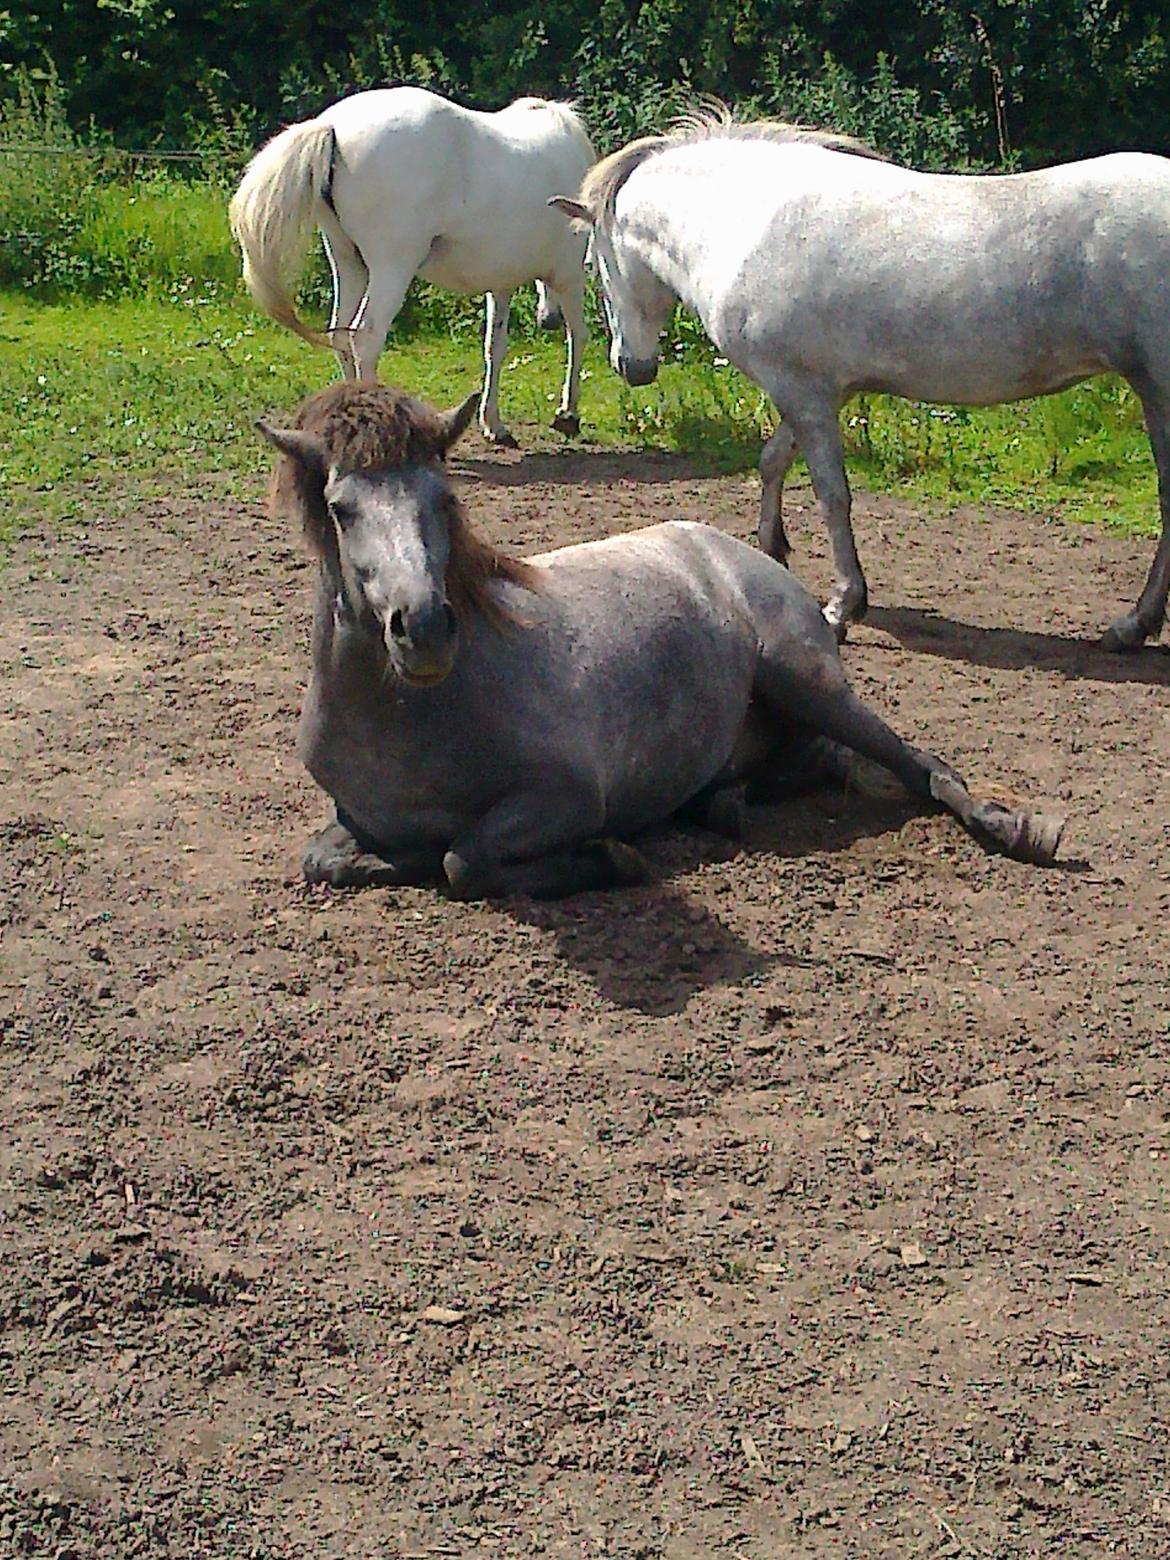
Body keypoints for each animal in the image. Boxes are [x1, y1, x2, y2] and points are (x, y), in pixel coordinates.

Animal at [230, 86, 595, 446]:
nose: (547, 319)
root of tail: (332, 127)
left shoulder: (500, 282)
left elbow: (495, 346)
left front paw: (494, 423)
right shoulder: (570, 276)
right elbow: (578, 336)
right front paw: (569, 414)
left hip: (348, 263)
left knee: (342, 334)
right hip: (391, 269)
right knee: (366, 338)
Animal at [260, 374, 1067, 904]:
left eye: (443, 496)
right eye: (341, 508)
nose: (424, 629)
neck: (413, 716)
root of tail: (737, 551)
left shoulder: (566, 797)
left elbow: (463, 862)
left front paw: (611, 860)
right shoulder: (354, 819)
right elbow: (325, 859)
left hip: (806, 681)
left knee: (918, 764)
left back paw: (1013, 829)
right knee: (813, 761)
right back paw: (723, 804)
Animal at [555, 105, 1170, 652]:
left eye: (597, 266)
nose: (631, 367)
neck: (748, 223)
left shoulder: (805, 394)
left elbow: (832, 494)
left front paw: (842, 606)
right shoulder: (813, 394)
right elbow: (772, 461)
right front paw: (773, 549)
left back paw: (1132, 626)